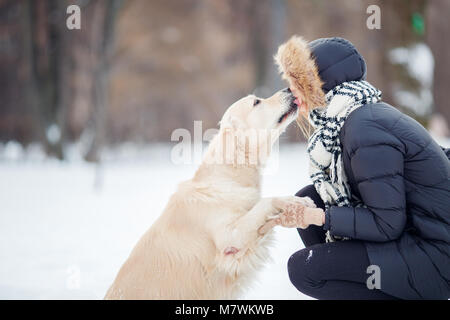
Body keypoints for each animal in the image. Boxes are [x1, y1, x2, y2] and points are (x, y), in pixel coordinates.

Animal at [104, 88, 312, 300]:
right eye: (256, 102)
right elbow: (265, 202)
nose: (289, 89)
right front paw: (293, 201)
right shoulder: (230, 237)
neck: (227, 175)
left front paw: (298, 201)